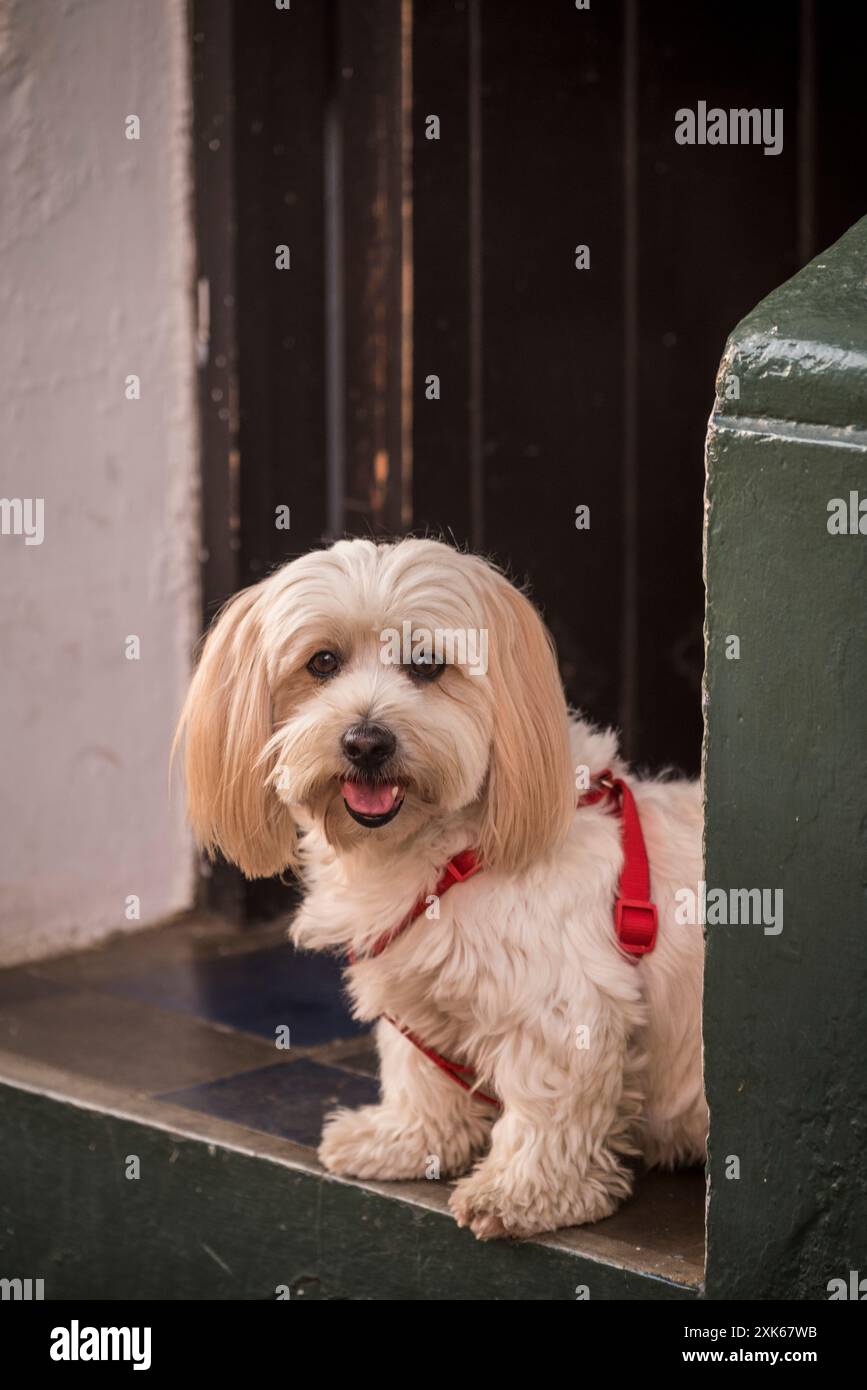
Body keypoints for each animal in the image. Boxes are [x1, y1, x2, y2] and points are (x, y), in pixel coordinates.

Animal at [174, 533, 705, 1239]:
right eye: (322, 662)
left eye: (427, 665)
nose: (366, 740)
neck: (444, 853)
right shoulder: (415, 991)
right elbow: (420, 1075)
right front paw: (407, 1140)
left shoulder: (564, 1008)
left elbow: (546, 1106)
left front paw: (523, 1191)